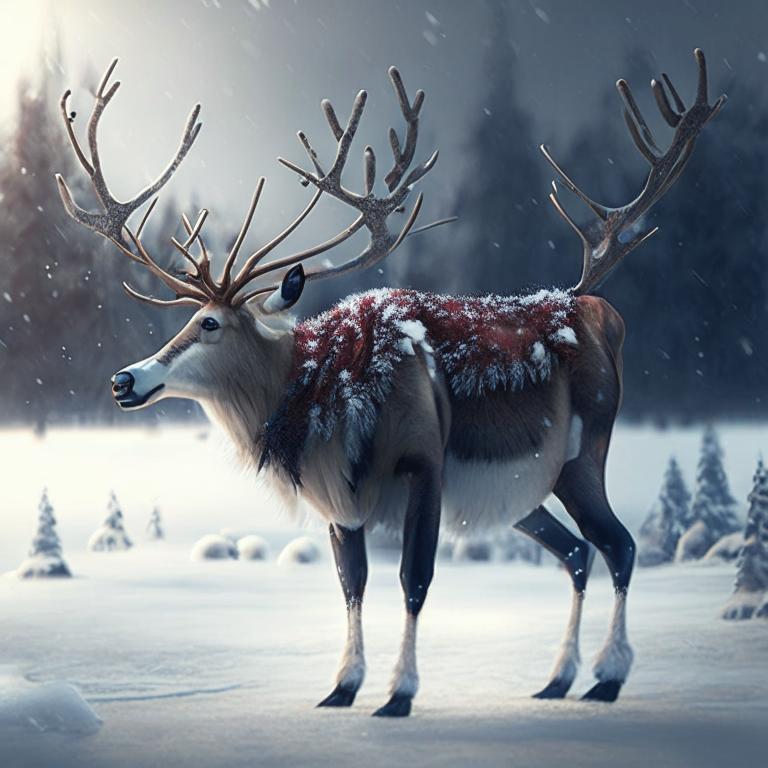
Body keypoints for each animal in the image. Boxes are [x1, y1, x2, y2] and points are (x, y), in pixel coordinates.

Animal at [57, 50, 724, 717]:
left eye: (210, 323)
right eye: (186, 319)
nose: (123, 379)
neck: (322, 405)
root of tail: (602, 316)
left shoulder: (423, 460)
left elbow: (414, 579)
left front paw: (399, 692)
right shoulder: (339, 499)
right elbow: (352, 583)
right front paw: (342, 686)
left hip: (582, 453)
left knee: (619, 545)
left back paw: (607, 677)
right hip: (524, 493)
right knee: (579, 553)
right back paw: (559, 678)